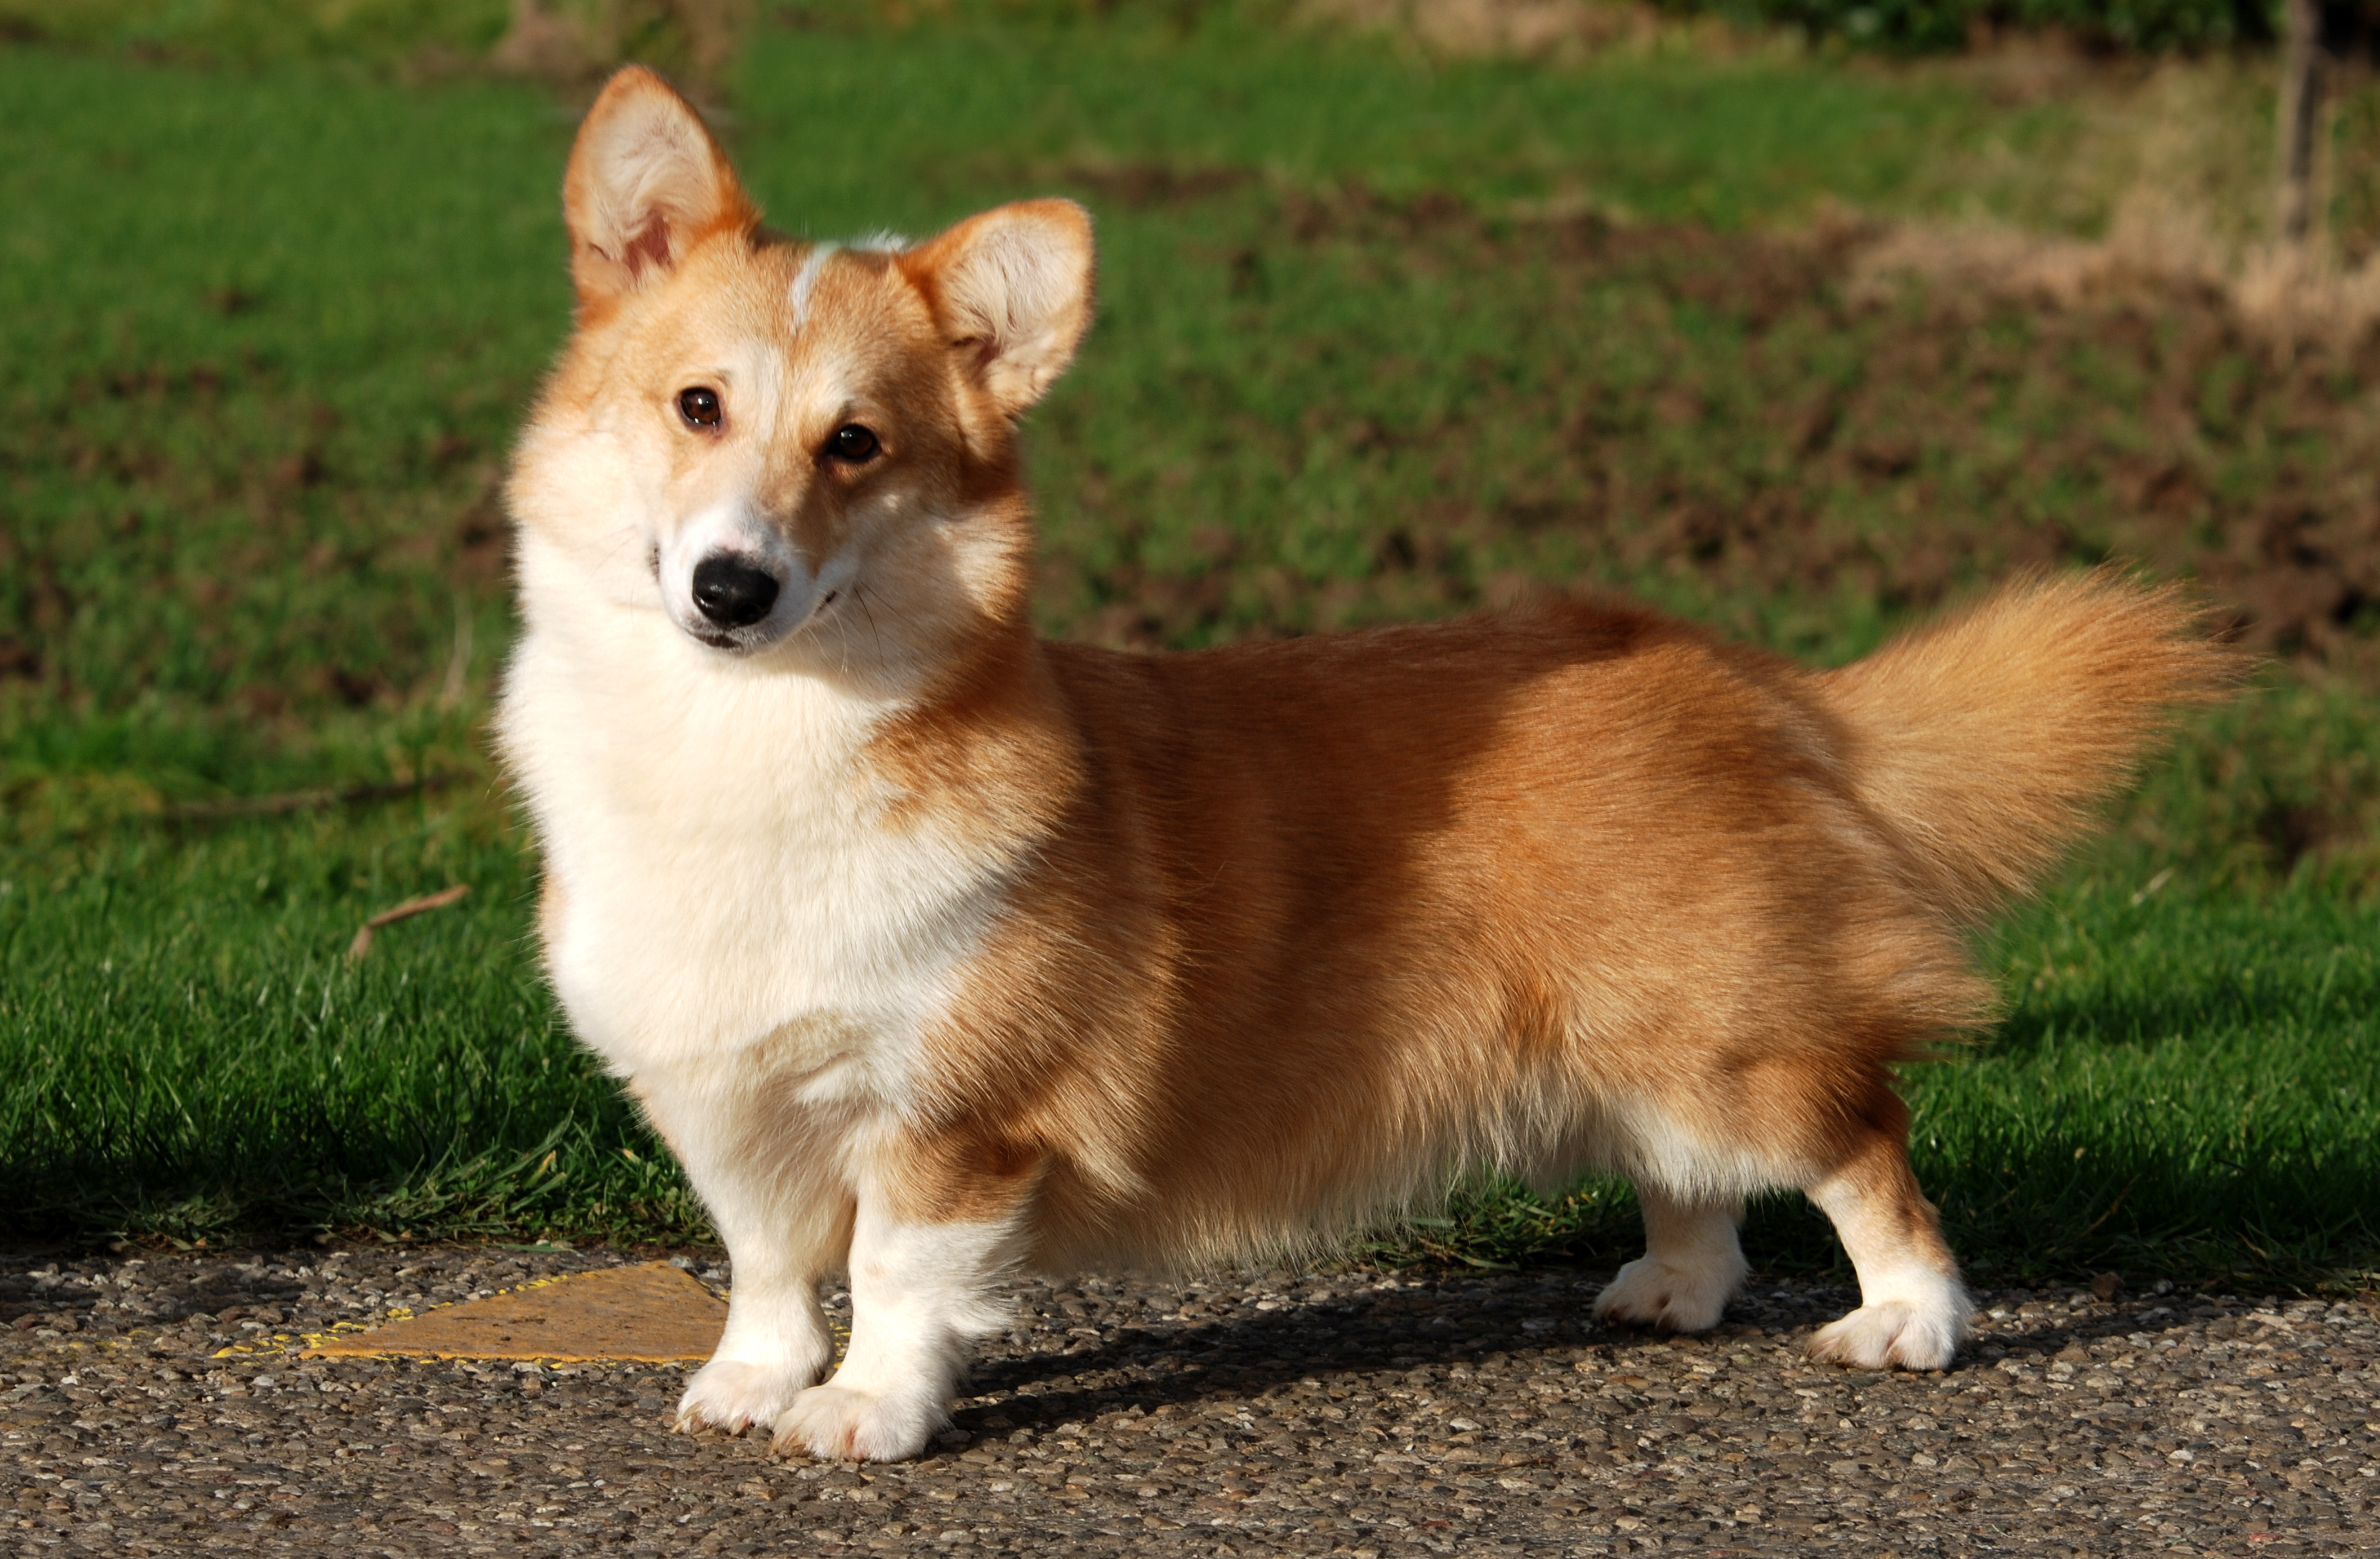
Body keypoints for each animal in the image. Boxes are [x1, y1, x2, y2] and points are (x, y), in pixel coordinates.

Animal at [497, 67, 2209, 1466]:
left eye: (855, 444)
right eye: (696, 406)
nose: (731, 588)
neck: (747, 739)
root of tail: (1731, 669)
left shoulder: (954, 1114)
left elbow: (894, 1273)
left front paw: (864, 1413)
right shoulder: (723, 1100)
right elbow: (773, 1264)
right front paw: (752, 1383)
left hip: (1718, 1037)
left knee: (1861, 1142)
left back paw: (1909, 1319)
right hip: (1638, 1046)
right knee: (1695, 1182)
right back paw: (1671, 1289)